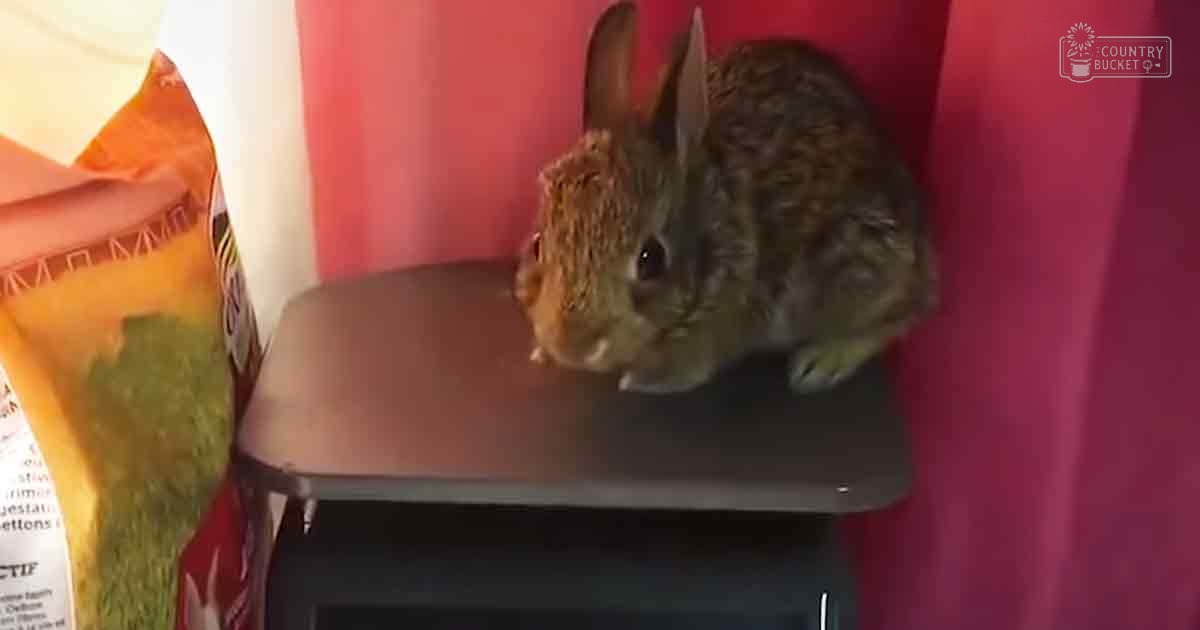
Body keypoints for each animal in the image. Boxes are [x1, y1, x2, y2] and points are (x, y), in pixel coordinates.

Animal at [514, 1, 937, 394]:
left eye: (651, 260)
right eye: (537, 245)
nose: (573, 344)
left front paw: (637, 380)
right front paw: (540, 353)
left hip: (860, 263)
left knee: (908, 310)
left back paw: (823, 362)